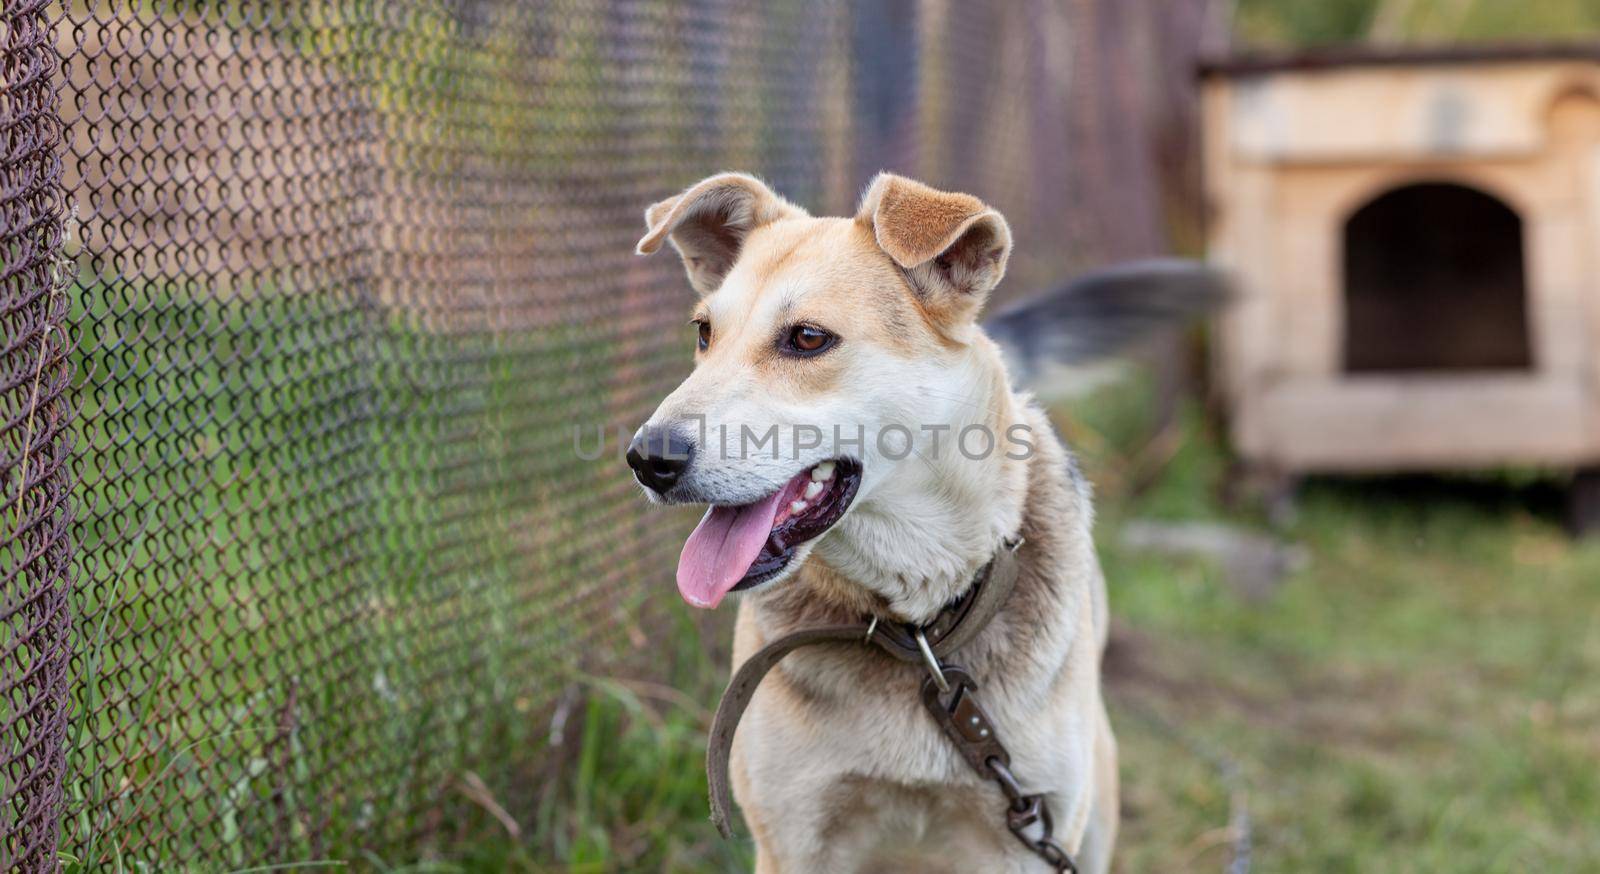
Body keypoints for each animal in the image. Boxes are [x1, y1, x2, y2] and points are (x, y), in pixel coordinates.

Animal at [627, 172, 1222, 870]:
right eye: (703, 334)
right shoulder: (793, 838)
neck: (917, 624)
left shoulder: (1026, 839)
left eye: (808, 339)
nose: (648, 458)